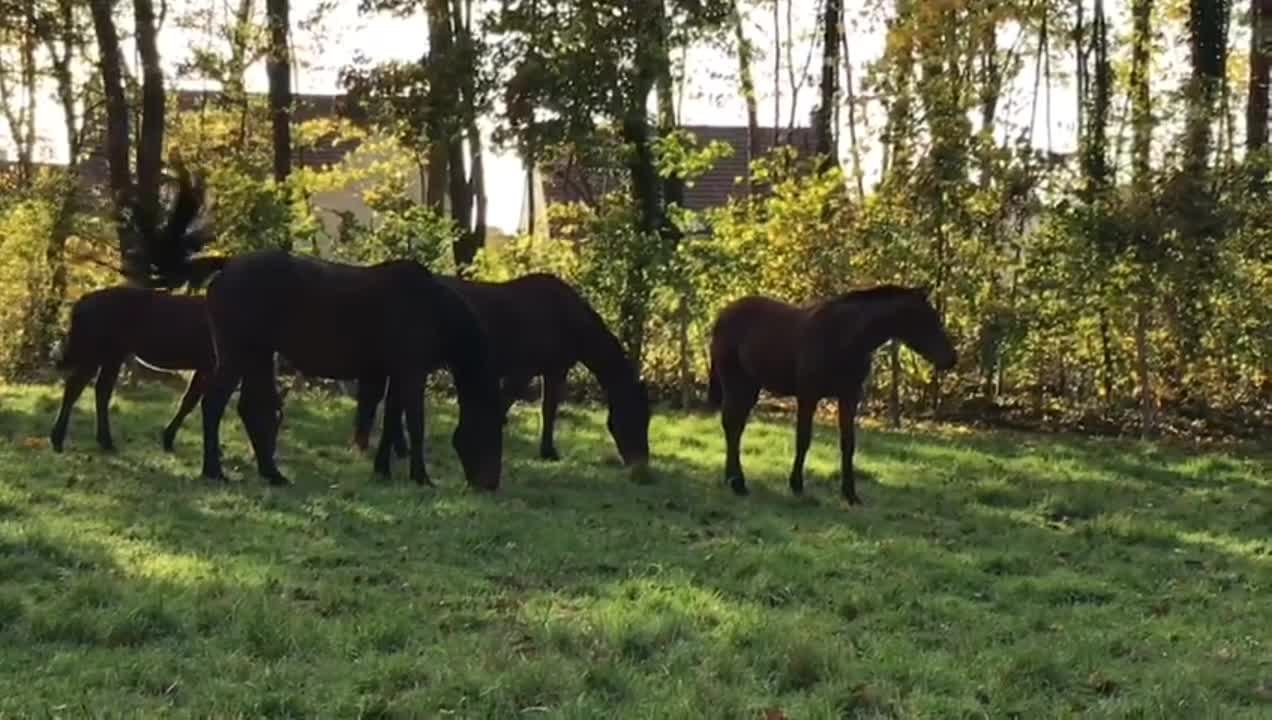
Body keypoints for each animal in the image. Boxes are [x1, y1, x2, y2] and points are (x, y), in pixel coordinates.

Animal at [49, 286, 213, 453]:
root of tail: (80, 303)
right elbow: (194, 402)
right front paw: (168, 440)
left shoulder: (205, 366)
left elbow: (189, 401)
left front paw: (167, 440)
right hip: (98, 353)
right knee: (78, 388)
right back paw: (64, 440)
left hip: (109, 356)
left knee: (96, 390)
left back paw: (100, 441)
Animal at [131, 171, 506, 489]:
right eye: (490, 428)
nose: (489, 484)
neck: (431, 307)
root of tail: (228, 264)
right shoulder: (411, 374)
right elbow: (414, 423)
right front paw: (421, 477)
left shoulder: (394, 374)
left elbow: (390, 424)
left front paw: (383, 470)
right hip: (238, 355)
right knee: (214, 405)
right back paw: (215, 471)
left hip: (258, 357)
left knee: (250, 409)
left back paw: (272, 474)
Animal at [354, 273, 651, 475]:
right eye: (636, 417)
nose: (641, 464)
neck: (564, 316)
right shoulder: (522, 372)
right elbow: (506, 404)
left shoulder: (554, 370)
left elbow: (549, 410)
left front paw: (547, 452)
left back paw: (398, 449)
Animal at [707, 285, 957, 504]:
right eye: (926, 319)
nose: (951, 358)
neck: (844, 336)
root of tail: (723, 314)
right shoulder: (808, 396)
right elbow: (803, 440)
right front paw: (797, 485)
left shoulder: (849, 397)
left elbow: (848, 444)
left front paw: (850, 494)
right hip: (736, 382)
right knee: (731, 425)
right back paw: (737, 483)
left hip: (750, 386)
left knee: (736, 427)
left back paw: (733, 479)